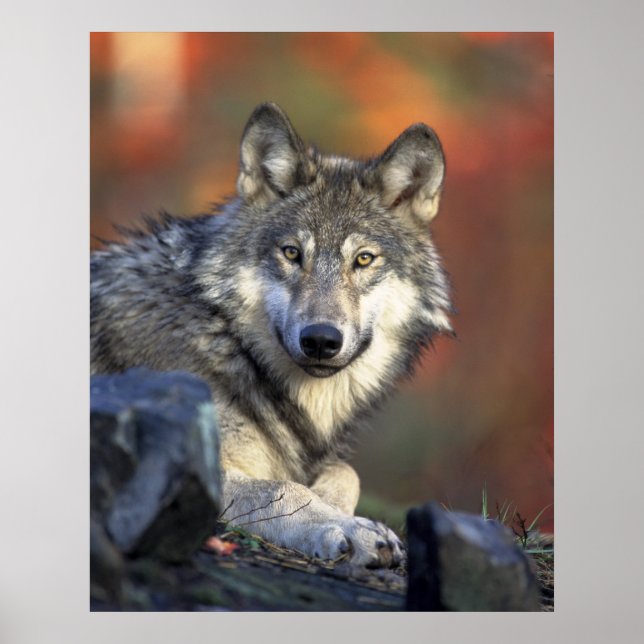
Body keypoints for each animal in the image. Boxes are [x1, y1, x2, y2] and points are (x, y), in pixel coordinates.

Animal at [91, 102, 452, 568]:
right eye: (292, 253)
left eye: (363, 259)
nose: (321, 340)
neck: (228, 341)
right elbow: (283, 488)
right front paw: (350, 529)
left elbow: (345, 472)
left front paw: (339, 509)